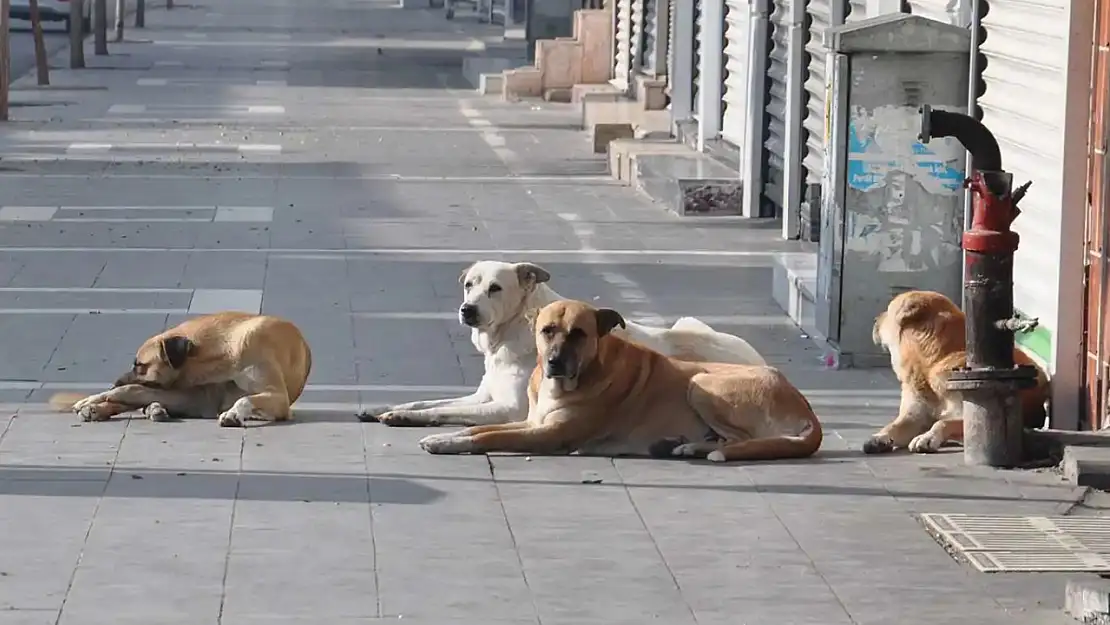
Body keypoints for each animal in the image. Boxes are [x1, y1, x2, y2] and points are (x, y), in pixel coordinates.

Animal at [49, 310, 313, 428]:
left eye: (140, 365)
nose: (114, 381)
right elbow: (128, 391)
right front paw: (93, 399)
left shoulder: (278, 397)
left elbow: (245, 398)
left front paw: (233, 414)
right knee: (134, 396)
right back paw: (97, 407)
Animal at [355, 260, 763, 430]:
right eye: (469, 284)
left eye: (495, 288)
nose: (467, 309)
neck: (510, 334)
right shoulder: (482, 396)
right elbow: (426, 402)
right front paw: (386, 408)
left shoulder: (507, 409)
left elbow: (443, 411)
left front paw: (404, 418)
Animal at [419, 299, 821, 461]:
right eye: (547, 331)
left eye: (579, 334)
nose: (554, 362)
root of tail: (806, 409)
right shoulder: (532, 422)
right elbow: (476, 429)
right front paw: (445, 436)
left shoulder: (548, 434)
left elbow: (488, 437)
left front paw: (446, 443)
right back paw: (685, 446)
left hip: (702, 384)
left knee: (743, 440)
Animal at [865, 288, 1047, 455]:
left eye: (887, 311)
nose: (874, 319)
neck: (935, 361)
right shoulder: (913, 416)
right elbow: (894, 425)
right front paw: (880, 437)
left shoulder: (969, 413)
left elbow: (943, 422)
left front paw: (927, 437)